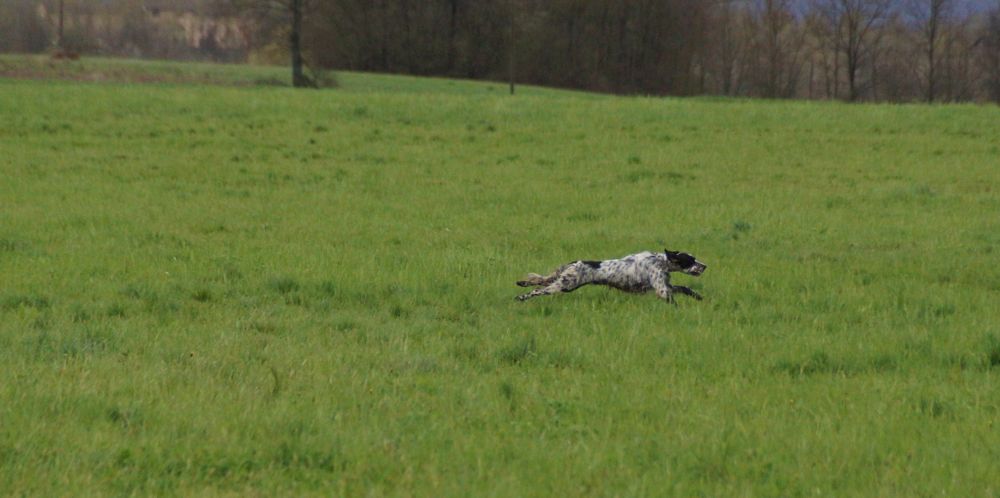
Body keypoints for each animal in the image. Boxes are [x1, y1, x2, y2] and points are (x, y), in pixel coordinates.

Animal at [516, 249, 707, 304]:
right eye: (690, 260)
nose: (705, 266)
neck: (662, 261)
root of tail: (574, 262)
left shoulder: (665, 285)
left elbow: (684, 288)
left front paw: (698, 297)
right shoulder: (662, 289)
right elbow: (673, 300)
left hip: (564, 283)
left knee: (540, 282)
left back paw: (522, 283)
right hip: (565, 285)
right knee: (538, 290)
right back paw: (521, 297)